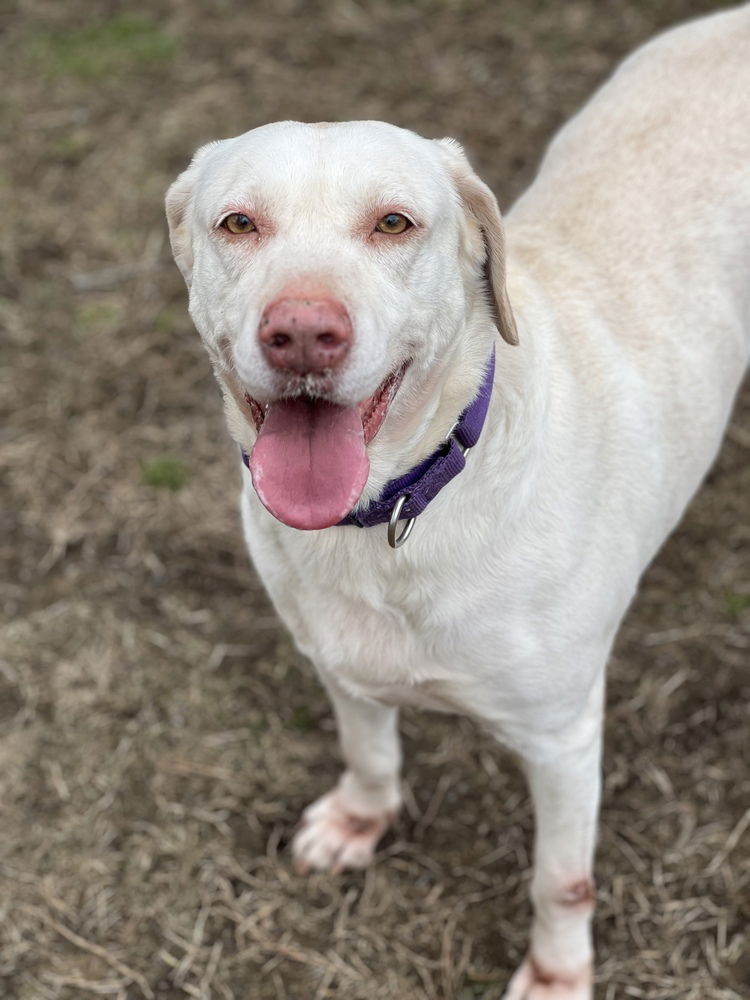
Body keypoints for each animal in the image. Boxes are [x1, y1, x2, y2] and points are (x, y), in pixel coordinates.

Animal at [166, 9, 750, 1000]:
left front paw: (555, 977)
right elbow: (369, 748)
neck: (400, 506)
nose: (303, 333)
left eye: (395, 222)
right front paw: (360, 822)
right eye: (238, 222)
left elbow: (562, 879)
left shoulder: (562, 735)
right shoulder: (337, 656)